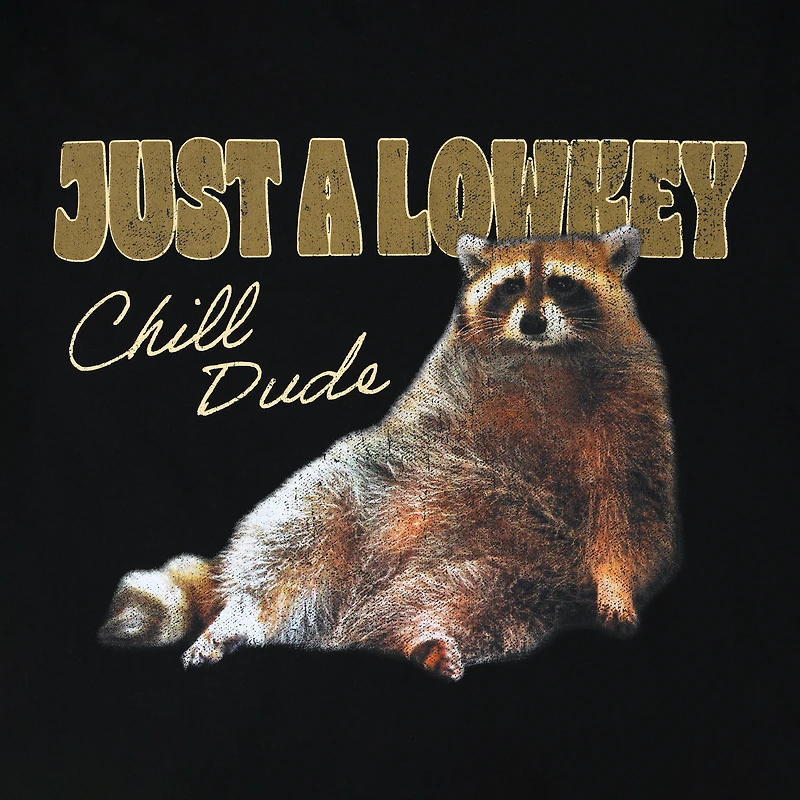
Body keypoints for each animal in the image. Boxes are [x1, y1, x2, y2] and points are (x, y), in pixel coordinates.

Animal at [99, 226, 678, 680]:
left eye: (560, 282)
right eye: (512, 285)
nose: (532, 322)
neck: (544, 357)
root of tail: (350, 612)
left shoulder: (635, 408)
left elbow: (630, 506)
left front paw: (616, 586)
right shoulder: (445, 392)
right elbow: (414, 441)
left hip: (513, 572)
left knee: (492, 607)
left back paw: (427, 637)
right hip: (328, 512)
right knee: (292, 542)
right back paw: (242, 614)